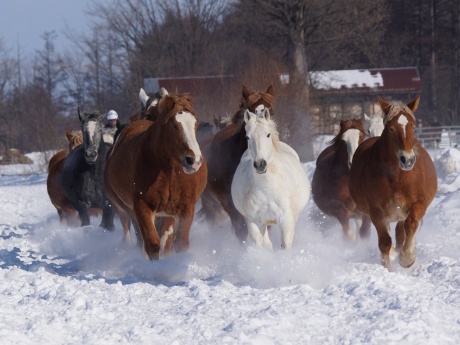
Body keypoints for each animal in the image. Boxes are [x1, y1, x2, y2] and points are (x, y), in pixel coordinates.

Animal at [104, 92, 207, 260]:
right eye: (174, 125)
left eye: (195, 123)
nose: (194, 161)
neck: (168, 171)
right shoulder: (142, 207)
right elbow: (152, 245)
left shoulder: (185, 208)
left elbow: (179, 243)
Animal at [230, 109, 310, 249]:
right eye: (247, 137)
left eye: (268, 134)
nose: (260, 164)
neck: (266, 188)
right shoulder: (254, 222)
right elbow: (261, 244)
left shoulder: (286, 222)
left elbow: (285, 245)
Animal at [350, 96, 436, 268]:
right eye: (390, 128)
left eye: (413, 126)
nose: (407, 160)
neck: (397, 177)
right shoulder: (376, 212)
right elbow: (384, 242)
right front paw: (388, 268)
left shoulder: (418, 204)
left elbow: (410, 226)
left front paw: (407, 257)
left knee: (401, 233)